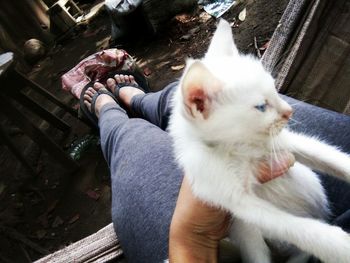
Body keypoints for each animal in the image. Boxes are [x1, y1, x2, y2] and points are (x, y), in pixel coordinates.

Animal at [169, 20, 350, 263]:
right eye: (262, 107)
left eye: (275, 89)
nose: (289, 111)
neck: (241, 145)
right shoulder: (229, 195)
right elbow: (287, 225)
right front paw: (338, 246)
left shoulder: (282, 143)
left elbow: (327, 156)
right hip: (247, 237)